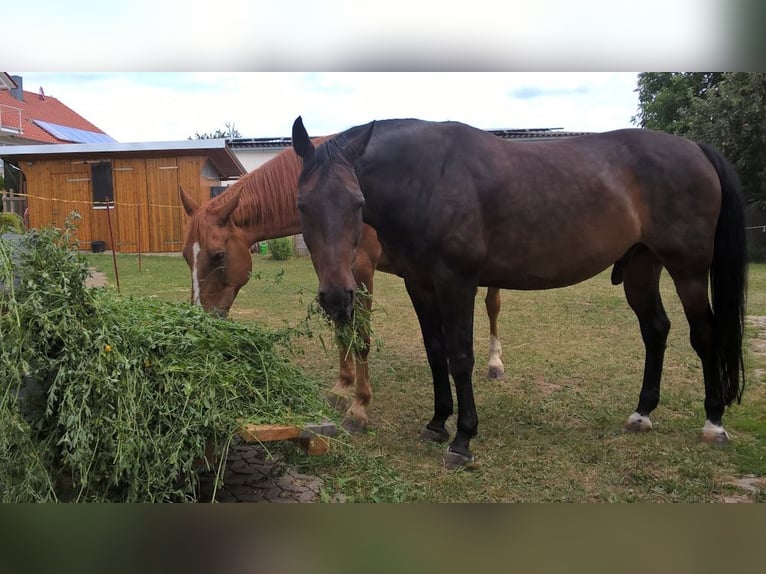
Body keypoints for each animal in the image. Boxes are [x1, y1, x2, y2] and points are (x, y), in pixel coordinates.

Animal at [178, 146, 508, 434]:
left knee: (493, 305)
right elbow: (341, 329)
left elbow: (361, 337)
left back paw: (495, 363)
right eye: (185, 256)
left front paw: (359, 407)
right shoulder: (331, 277)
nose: (200, 320)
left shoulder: (360, 271)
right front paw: (341, 388)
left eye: (218, 255)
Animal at [294, 117, 752, 472]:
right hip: (642, 267)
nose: (336, 297)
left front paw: (462, 440)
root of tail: (694, 149)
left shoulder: (457, 281)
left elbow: (461, 357)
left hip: (688, 271)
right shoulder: (420, 284)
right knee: (656, 330)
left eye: (357, 202)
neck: (429, 176)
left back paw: (713, 424)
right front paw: (437, 423)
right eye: (302, 206)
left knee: (704, 336)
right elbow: (436, 353)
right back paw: (641, 414)